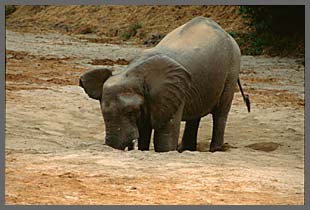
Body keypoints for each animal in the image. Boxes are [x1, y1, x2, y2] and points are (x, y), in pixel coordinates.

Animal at [79, 15, 249, 152]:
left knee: (220, 113)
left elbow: (164, 138)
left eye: (131, 112)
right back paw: (186, 149)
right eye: (102, 113)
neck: (134, 73)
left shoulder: (172, 92)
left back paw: (215, 149)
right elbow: (145, 130)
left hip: (232, 68)